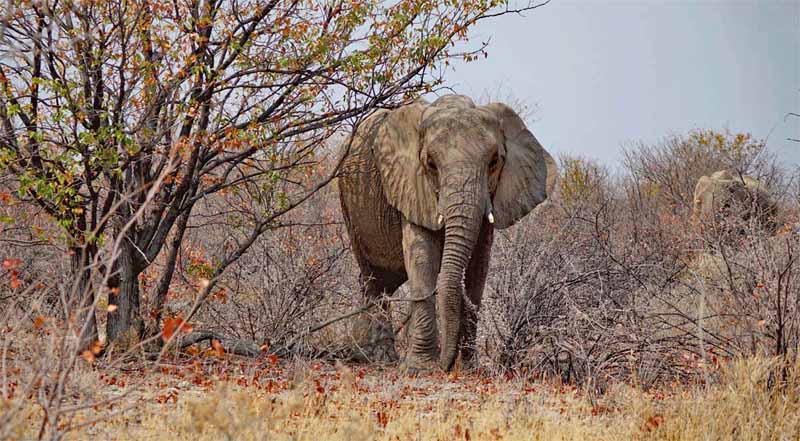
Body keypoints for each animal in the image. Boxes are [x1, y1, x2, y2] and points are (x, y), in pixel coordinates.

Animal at [338, 94, 557, 372]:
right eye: (431, 164)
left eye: (494, 162)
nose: (446, 365)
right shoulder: (412, 186)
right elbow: (422, 257)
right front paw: (420, 368)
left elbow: (479, 267)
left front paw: (470, 368)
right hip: (348, 205)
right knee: (373, 280)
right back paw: (379, 358)